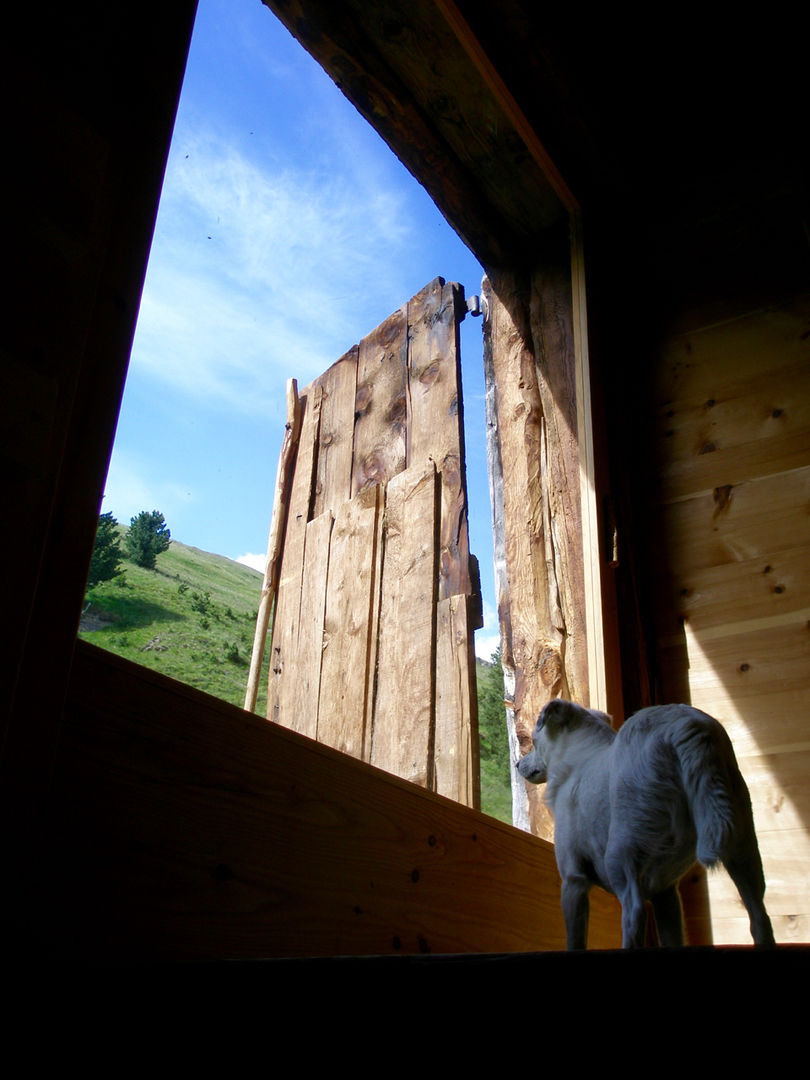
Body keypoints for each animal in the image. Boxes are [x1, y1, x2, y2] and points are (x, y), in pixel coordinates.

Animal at [516, 699, 777, 946]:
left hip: (620, 856)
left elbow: (575, 940)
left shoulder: (573, 880)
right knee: (759, 916)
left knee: (634, 911)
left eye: (534, 741)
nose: (518, 765)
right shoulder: (666, 894)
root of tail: (685, 727)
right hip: (743, 851)